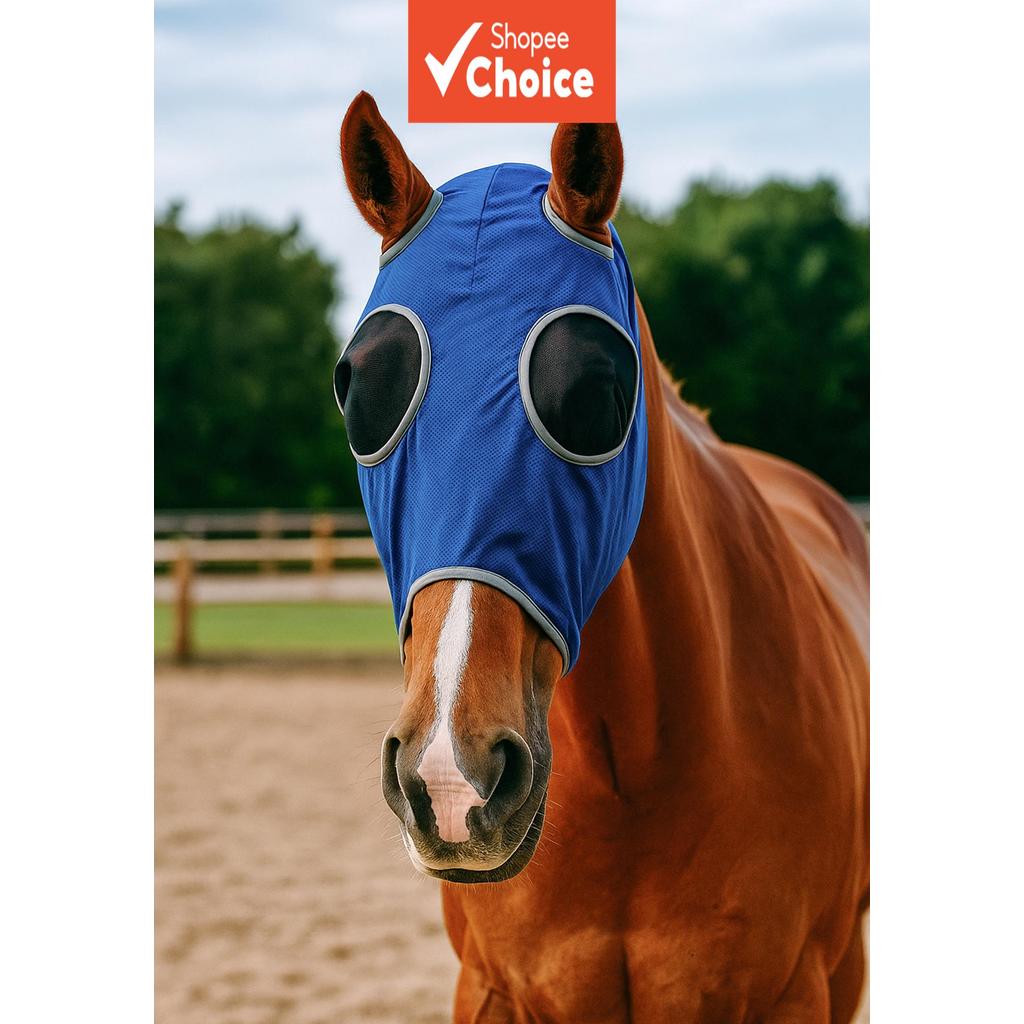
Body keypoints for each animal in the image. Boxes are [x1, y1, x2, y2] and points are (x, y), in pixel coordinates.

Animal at [334, 91, 869, 1024]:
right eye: (357, 390)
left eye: (595, 390)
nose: (451, 776)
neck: (634, 782)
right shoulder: (489, 992)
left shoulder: (794, 991)